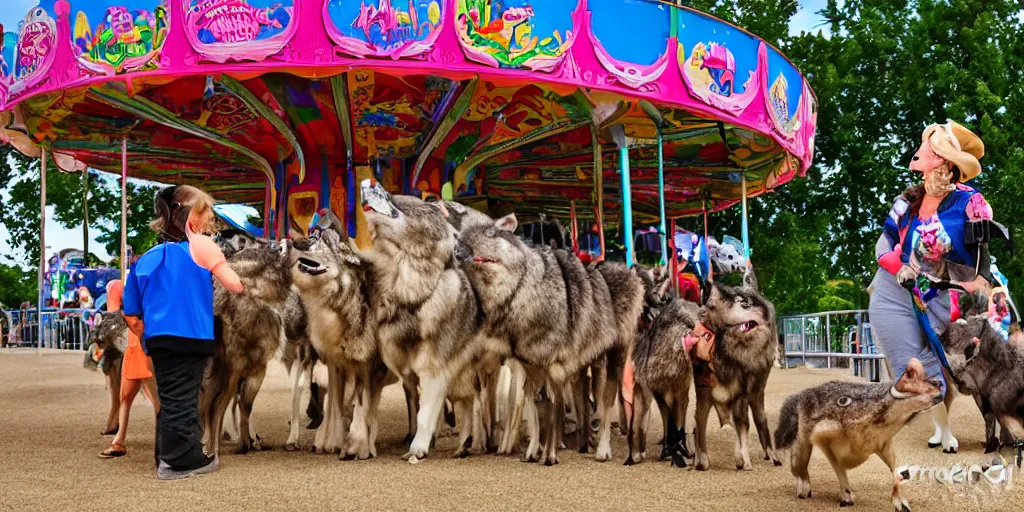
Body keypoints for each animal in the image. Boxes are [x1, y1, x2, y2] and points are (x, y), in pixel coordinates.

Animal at [456, 211, 638, 464]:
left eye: (490, 233)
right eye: (459, 237)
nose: (457, 252)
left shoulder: (553, 364)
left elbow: (552, 407)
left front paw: (550, 456)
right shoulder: (529, 365)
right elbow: (535, 408)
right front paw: (533, 452)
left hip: (615, 356)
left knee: (609, 400)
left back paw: (605, 449)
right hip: (584, 365)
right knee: (586, 400)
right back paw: (584, 443)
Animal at [696, 268, 782, 471]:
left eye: (745, 304)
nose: (705, 307)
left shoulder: (747, 392)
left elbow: (750, 423)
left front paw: (750, 462)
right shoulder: (708, 392)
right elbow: (704, 423)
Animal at [774, 358, 942, 509]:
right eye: (911, 377)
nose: (939, 383)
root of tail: (801, 394)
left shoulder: (883, 443)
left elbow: (895, 471)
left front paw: (900, 503)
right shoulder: (823, 438)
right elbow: (838, 468)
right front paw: (846, 497)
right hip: (803, 440)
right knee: (797, 465)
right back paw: (801, 487)